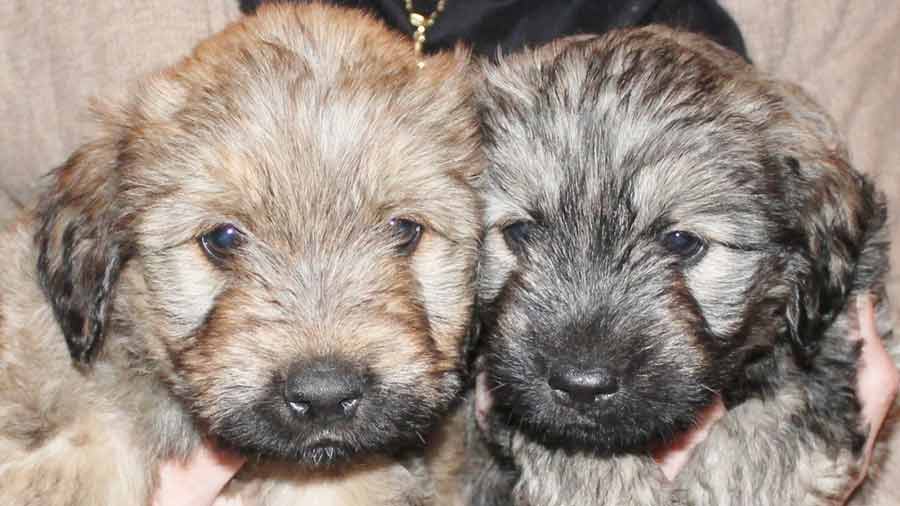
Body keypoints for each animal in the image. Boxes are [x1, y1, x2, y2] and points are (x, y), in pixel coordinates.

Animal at [468, 28, 896, 506]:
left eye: (681, 242)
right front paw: (604, 484)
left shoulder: (830, 339)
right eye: (521, 232)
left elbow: (772, 428)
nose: (582, 383)